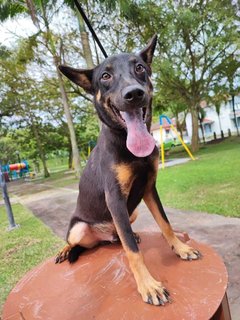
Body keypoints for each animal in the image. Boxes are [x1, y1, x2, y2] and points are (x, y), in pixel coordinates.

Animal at [55, 34, 200, 304]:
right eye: (105, 76)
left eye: (140, 68)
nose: (134, 93)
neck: (127, 144)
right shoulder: (114, 198)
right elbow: (132, 251)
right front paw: (148, 286)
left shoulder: (149, 188)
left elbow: (165, 224)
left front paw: (181, 248)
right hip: (80, 227)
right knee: (81, 240)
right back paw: (66, 249)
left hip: (130, 213)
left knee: (120, 235)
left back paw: (127, 235)